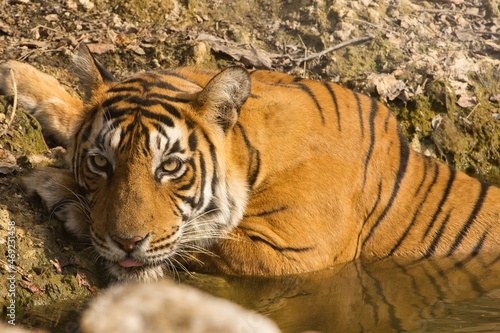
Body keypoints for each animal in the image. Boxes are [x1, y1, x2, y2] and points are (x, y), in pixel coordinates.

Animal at [0, 42, 498, 282]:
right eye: (101, 163)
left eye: (170, 167)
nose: (126, 243)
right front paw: (18, 74)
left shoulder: (292, 253)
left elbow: (198, 241)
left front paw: (55, 188)